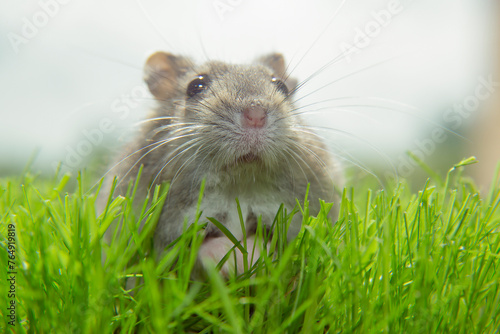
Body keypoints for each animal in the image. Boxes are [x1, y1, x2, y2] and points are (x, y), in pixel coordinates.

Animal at [101, 51, 344, 276]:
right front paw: (233, 261)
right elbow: (199, 251)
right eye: (195, 86)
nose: (256, 114)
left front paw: (249, 259)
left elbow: (267, 245)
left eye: (282, 86)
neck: (239, 181)